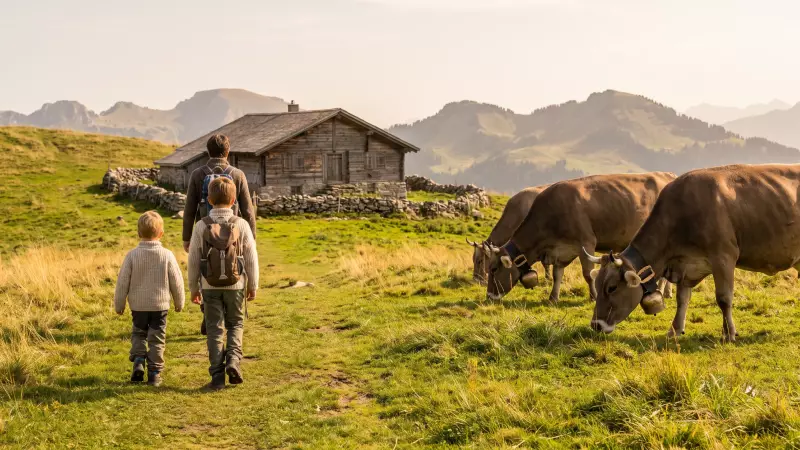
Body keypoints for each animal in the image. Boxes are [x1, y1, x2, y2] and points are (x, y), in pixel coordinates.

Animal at [485, 172, 677, 303]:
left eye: (493, 269)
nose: (488, 296)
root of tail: (668, 175)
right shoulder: (562, 250)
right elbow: (557, 274)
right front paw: (553, 297)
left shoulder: (586, 242)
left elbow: (588, 274)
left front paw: (593, 296)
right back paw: (666, 292)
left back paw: (663, 292)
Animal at [588, 164, 800, 342]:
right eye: (597, 284)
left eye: (612, 288)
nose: (596, 325)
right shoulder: (685, 265)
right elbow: (682, 299)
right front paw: (674, 330)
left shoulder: (723, 257)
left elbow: (724, 298)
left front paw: (729, 333)